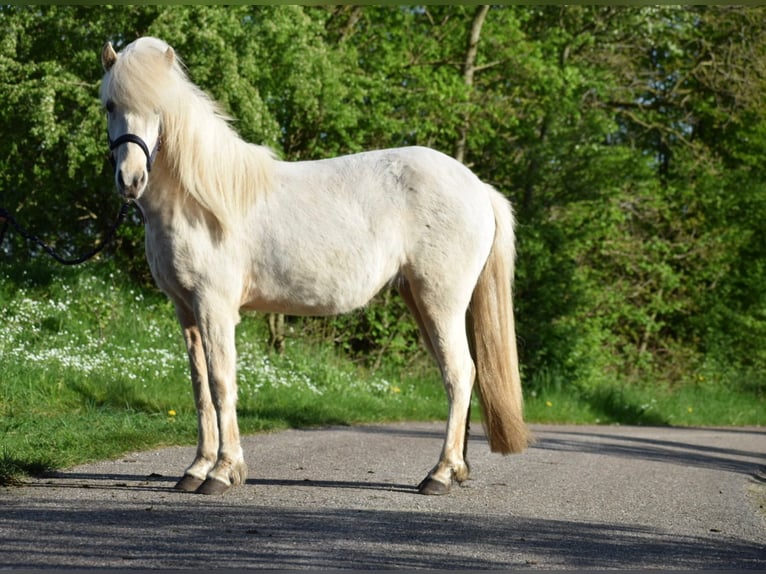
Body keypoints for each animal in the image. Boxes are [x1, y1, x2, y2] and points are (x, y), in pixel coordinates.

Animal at [100, 37, 528, 496]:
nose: (130, 180)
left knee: (460, 375)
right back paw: (457, 468)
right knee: (457, 376)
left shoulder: (214, 307)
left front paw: (222, 472)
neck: (201, 201)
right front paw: (196, 469)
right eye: (109, 105)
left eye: (158, 108)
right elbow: (200, 389)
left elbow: (221, 383)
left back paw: (441, 474)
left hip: (441, 301)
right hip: (420, 300)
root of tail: (478, 187)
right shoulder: (186, 311)